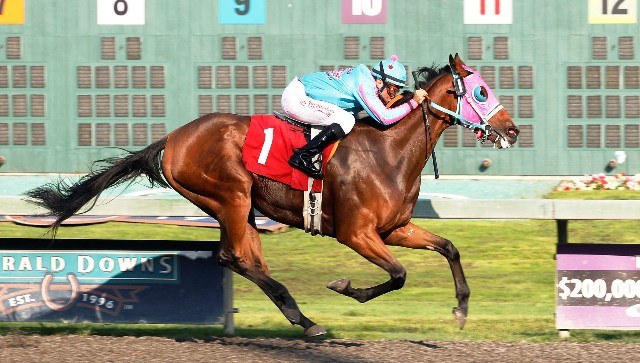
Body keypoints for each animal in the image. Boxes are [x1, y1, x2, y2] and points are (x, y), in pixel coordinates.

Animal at [26, 54, 520, 338]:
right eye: (481, 90)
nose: (512, 130)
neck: (388, 151)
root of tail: (172, 138)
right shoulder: (356, 233)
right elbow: (398, 275)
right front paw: (344, 287)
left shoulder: (394, 228)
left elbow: (449, 248)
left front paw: (460, 310)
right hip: (230, 197)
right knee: (232, 257)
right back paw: (305, 320)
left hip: (238, 207)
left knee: (247, 259)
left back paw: (301, 317)